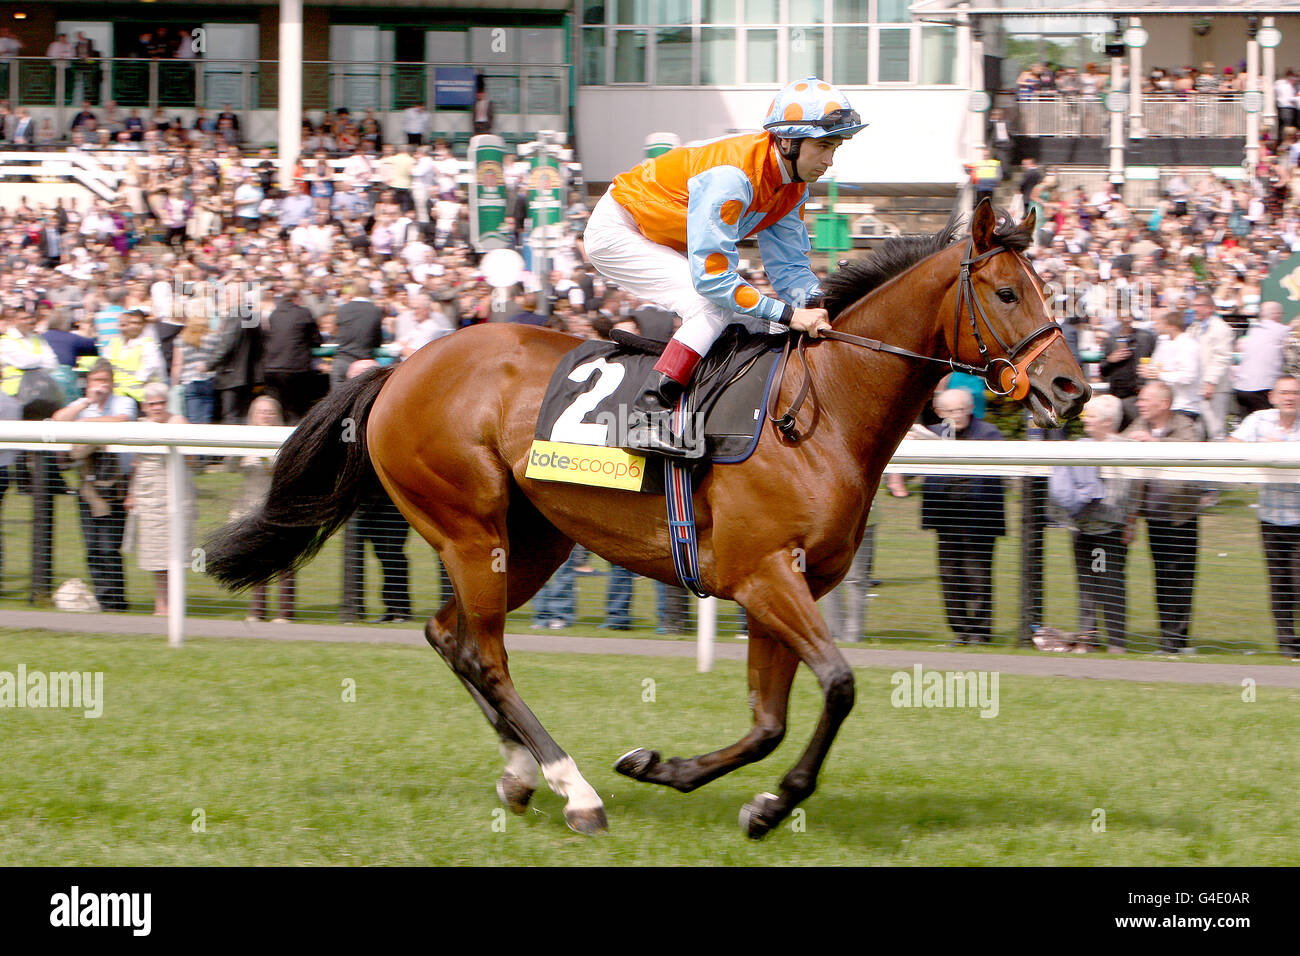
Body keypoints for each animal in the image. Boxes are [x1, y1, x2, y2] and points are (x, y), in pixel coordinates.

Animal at [208, 200, 1092, 837]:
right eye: (1007, 292)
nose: (1071, 387)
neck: (821, 410)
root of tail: (397, 368)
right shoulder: (764, 576)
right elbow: (837, 686)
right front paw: (766, 803)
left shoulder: (782, 589)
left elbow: (769, 721)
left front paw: (687, 776)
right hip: (469, 527)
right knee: (486, 654)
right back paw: (573, 790)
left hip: (530, 539)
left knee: (449, 636)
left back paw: (521, 774)